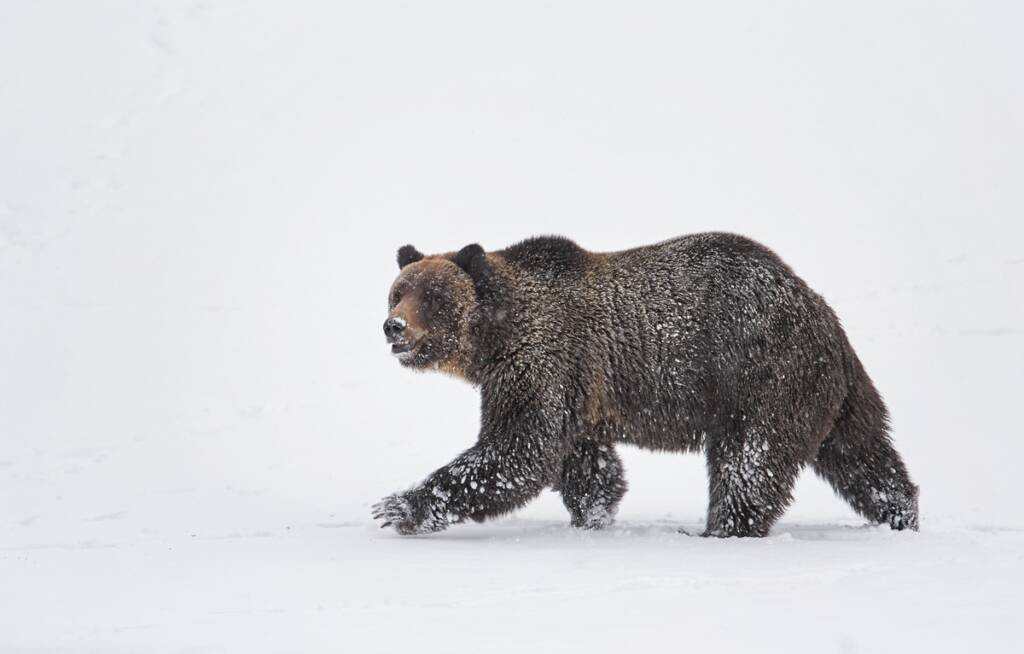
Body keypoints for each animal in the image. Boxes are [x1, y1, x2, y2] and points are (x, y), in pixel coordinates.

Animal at [372, 234, 917, 536]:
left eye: (434, 296)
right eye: (397, 292)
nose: (394, 327)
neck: (494, 340)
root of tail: (817, 307)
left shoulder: (540, 361)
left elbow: (518, 449)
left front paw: (397, 505)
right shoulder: (575, 387)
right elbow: (585, 464)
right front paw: (594, 515)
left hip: (760, 374)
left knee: (749, 460)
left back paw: (723, 528)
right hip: (833, 391)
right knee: (862, 454)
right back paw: (901, 513)